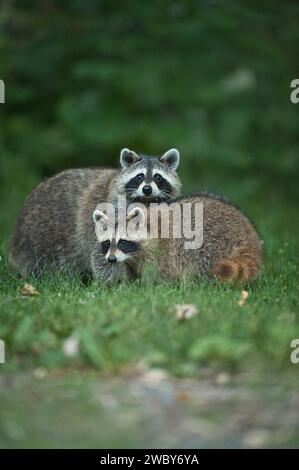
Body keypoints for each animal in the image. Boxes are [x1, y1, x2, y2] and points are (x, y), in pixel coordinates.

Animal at [9, 149, 182, 278]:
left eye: (158, 177)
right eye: (139, 176)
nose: (147, 189)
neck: (145, 200)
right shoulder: (107, 209)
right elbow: (101, 252)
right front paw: (115, 283)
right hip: (41, 238)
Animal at [104, 192, 264, 282]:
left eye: (123, 242)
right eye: (107, 243)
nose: (111, 259)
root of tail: (249, 237)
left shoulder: (163, 250)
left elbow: (162, 271)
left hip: (212, 241)